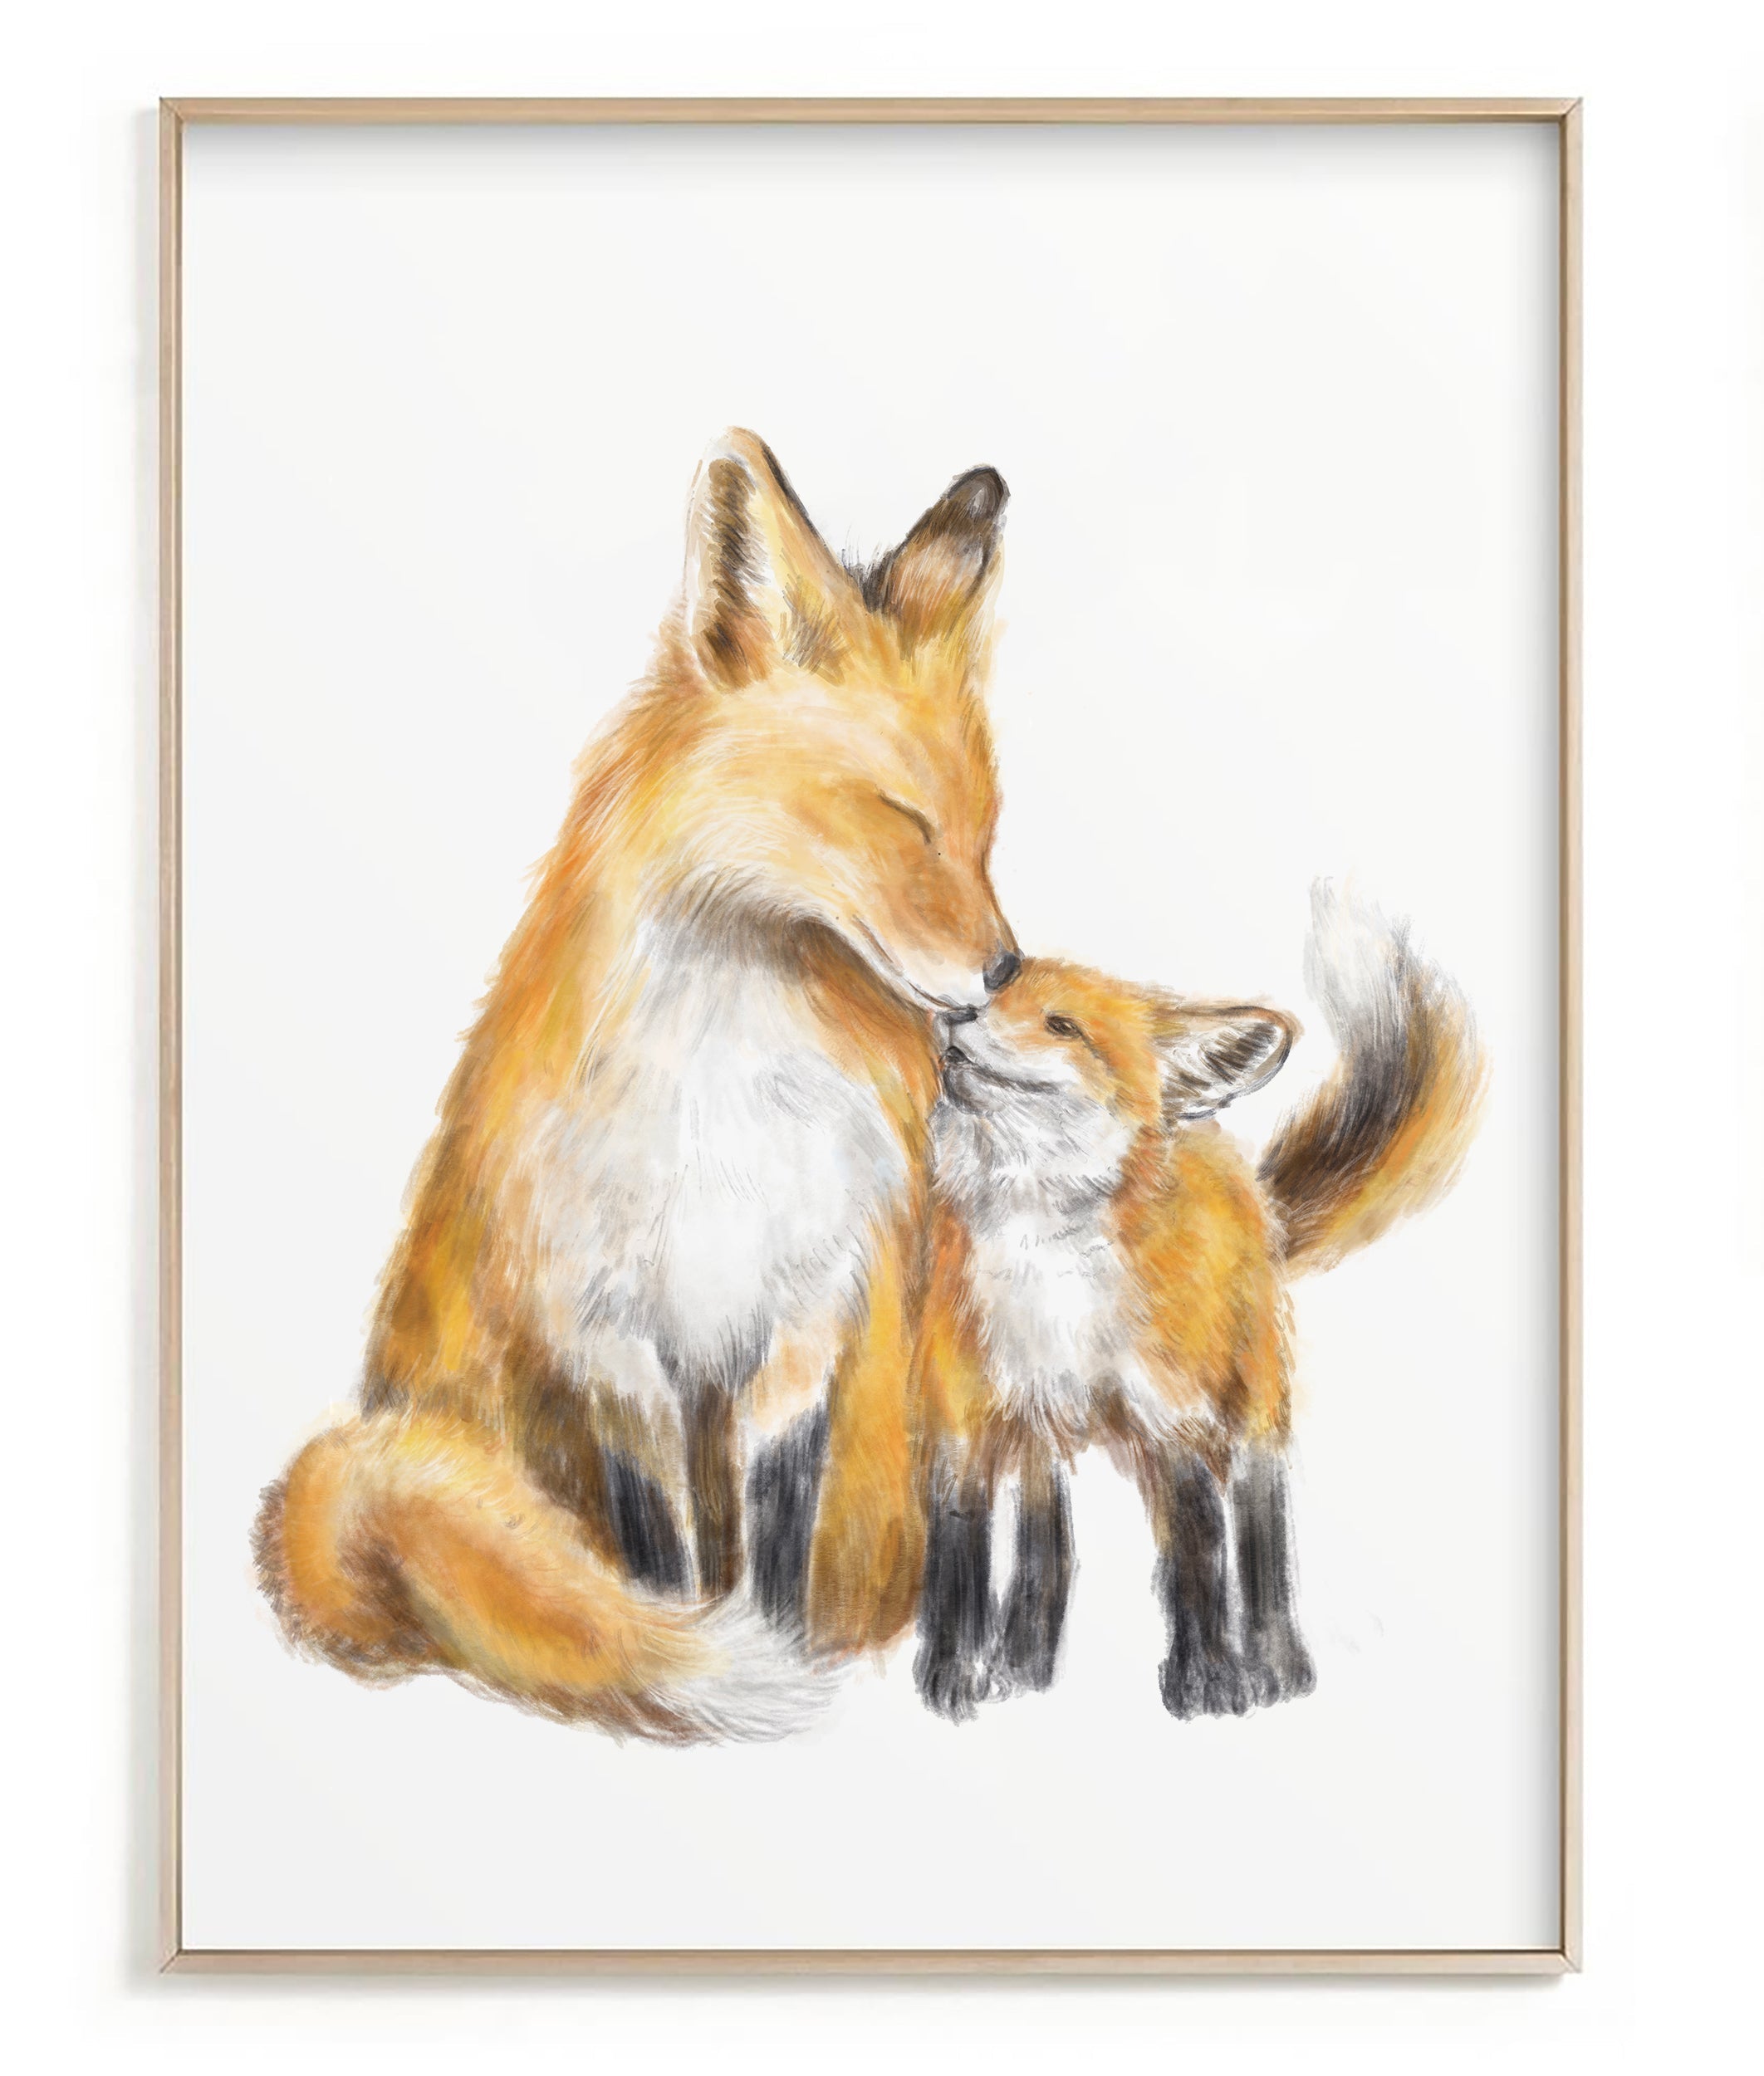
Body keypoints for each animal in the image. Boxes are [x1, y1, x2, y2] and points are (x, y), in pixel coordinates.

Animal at [255, 431, 1021, 1741]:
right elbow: (661, 1562)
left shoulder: (803, 1323)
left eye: (984, 831)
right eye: (903, 820)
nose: (1005, 971)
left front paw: (789, 1653)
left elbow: (775, 1538)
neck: (727, 1097)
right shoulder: (610, 1343)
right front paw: (704, 1657)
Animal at [912, 886, 1487, 1721]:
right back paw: (1026, 1666)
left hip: (1250, 1418)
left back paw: (1279, 1666)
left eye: (1063, 1026)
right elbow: (957, 1571)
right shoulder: (963, 1425)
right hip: (1042, 1442)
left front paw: (1209, 1682)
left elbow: (1196, 1564)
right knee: (1048, 1553)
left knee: (1257, 1537)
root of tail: (1245, 1178)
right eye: (993, 997)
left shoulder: (1171, 1421)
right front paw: (953, 1678)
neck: (1045, 1260)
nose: (956, 1011)